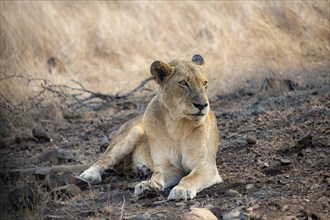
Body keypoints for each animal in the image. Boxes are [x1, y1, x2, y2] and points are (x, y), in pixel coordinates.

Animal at [79, 54, 223, 200]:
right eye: (183, 83)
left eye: (205, 83)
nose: (202, 105)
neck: (178, 124)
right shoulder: (167, 166)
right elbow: (158, 175)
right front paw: (148, 185)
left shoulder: (205, 164)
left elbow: (190, 177)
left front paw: (181, 189)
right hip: (133, 133)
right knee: (103, 160)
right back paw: (89, 175)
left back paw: (140, 170)